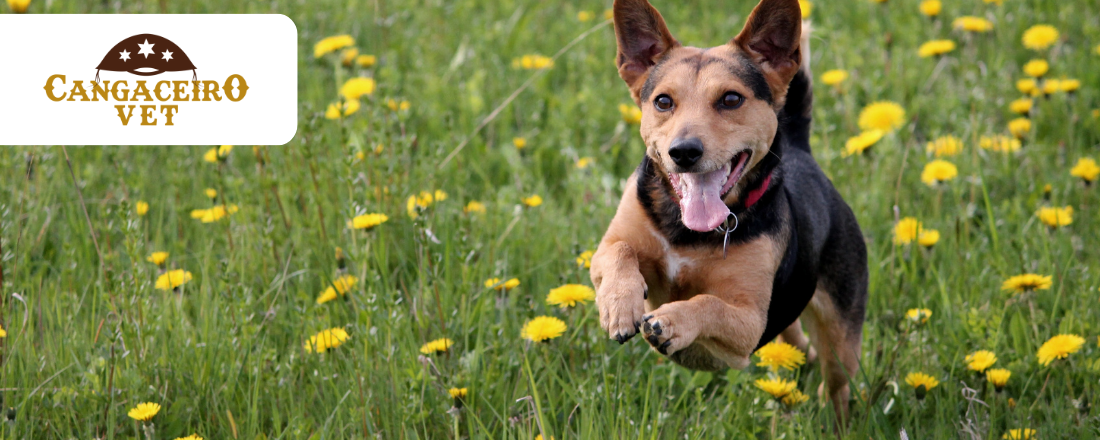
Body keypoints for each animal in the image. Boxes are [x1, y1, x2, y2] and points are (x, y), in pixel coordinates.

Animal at [594, 0, 866, 420]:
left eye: (731, 99)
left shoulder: (749, 323)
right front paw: (619, 305)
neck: (689, 232)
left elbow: (708, 304)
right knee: (796, 341)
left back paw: (832, 419)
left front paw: (672, 321)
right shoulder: (606, 250)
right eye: (663, 102)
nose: (684, 152)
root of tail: (801, 152)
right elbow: (619, 251)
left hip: (842, 335)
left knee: (837, 384)